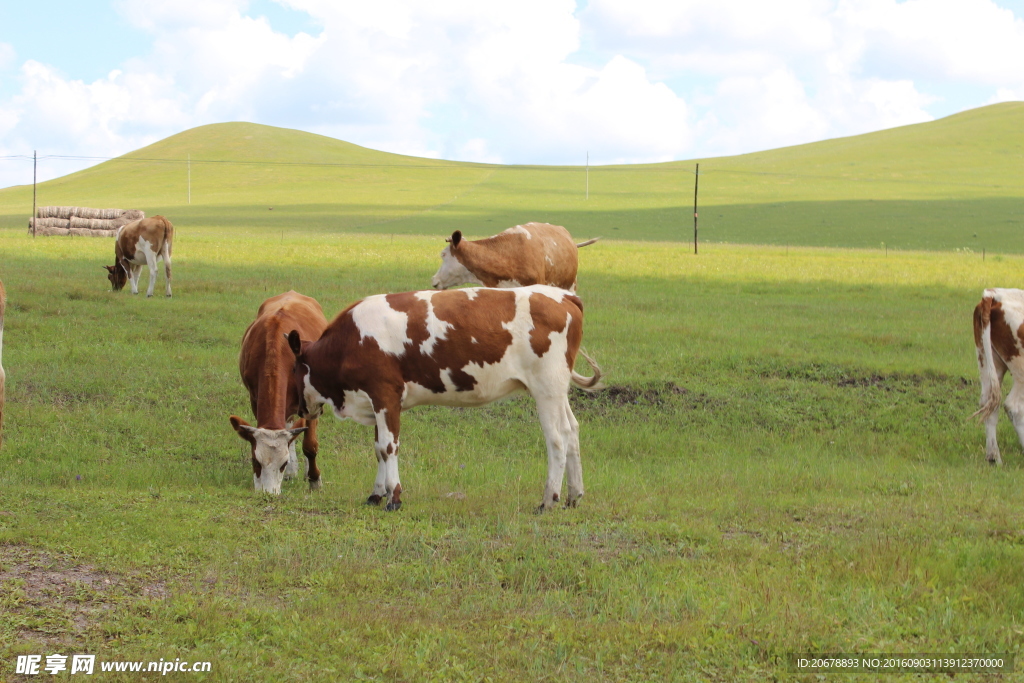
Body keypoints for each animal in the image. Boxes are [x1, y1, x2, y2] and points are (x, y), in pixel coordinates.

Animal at [231, 290, 327, 493]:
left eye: (282, 464)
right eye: (255, 461)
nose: (268, 494)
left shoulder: (312, 403)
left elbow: (310, 445)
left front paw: (314, 479)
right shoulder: (254, 398)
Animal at [288, 284, 602, 511]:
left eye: (292, 370)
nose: (296, 409)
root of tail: (563, 295)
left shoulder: (385, 393)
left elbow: (389, 447)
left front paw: (394, 498)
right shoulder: (377, 401)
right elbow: (378, 447)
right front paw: (376, 495)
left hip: (546, 387)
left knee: (557, 439)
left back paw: (549, 499)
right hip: (558, 389)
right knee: (572, 431)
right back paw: (574, 496)